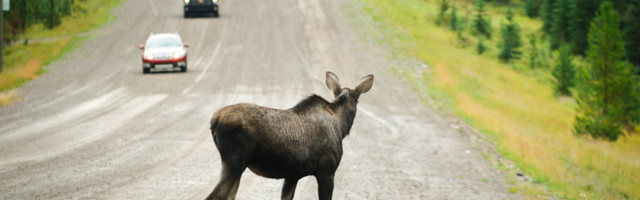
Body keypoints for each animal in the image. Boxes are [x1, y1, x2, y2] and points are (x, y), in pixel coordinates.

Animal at [208, 72, 372, 200]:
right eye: (357, 100)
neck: (341, 125)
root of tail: (215, 120)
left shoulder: (292, 175)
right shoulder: (327, 171)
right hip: (234, 162)